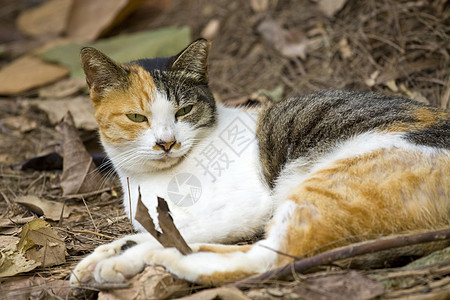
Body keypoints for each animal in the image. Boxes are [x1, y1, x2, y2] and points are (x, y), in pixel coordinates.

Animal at [68, 39, 448, 286]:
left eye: (184, 111)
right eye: (137, 117)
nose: (167, 143)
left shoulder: (245, 206)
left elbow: (173, 231)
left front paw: (120, 257)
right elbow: (149, 232)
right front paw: (97, 258)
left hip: (327, 187)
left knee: (267, 259)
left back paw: (156, 260)